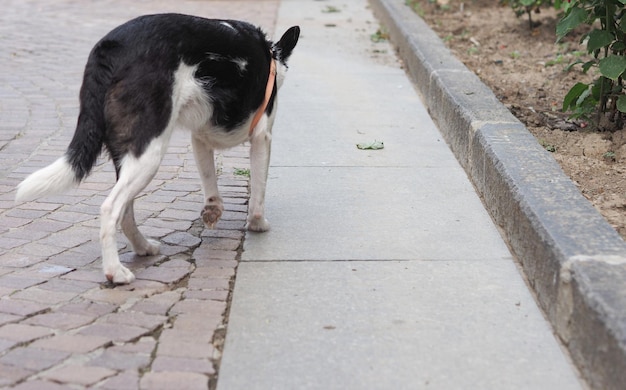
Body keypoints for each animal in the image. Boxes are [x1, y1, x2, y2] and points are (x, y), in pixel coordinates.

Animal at [13, 13, 298, 284]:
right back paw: (115, 272)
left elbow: (210, 183)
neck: (271, 55)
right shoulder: (262, 138)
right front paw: (258, 224)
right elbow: (258, 193)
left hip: (129, 156)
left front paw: (213, 210)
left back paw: (143, 247)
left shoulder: (200, 139)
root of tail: (111, 47)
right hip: (149, 153)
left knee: (126, 212)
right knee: (110, 208)